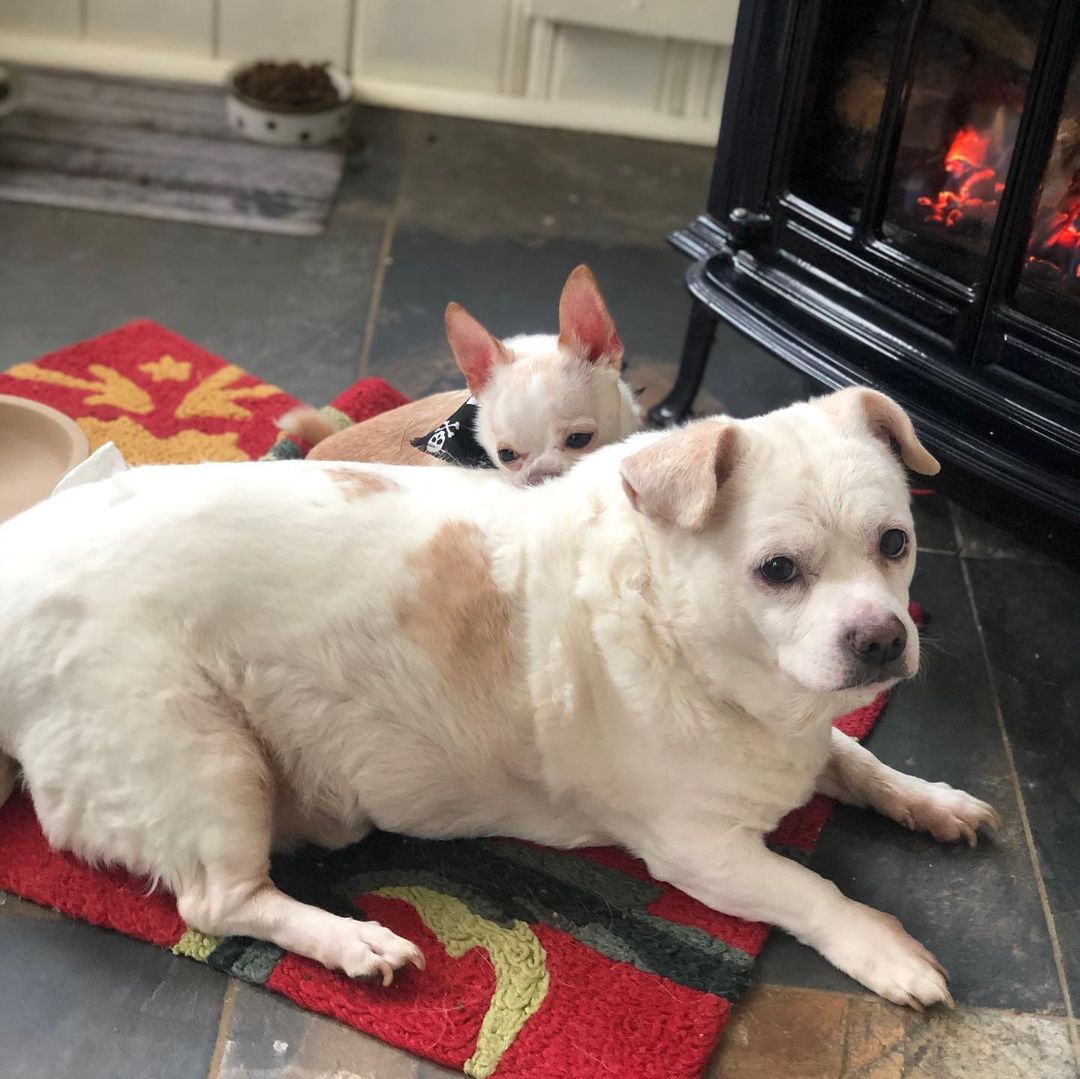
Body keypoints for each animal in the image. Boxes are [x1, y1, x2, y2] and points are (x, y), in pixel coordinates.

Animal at [0, 390, 993, 1010]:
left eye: (896, 544)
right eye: (778, 570)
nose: (883, 639)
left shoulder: (812, 731)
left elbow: (859, 759)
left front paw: (930, 800)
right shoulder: (700, 852)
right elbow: (810, 886)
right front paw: (882, 944)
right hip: (209, 757)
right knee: (219, 901)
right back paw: (351, 940)